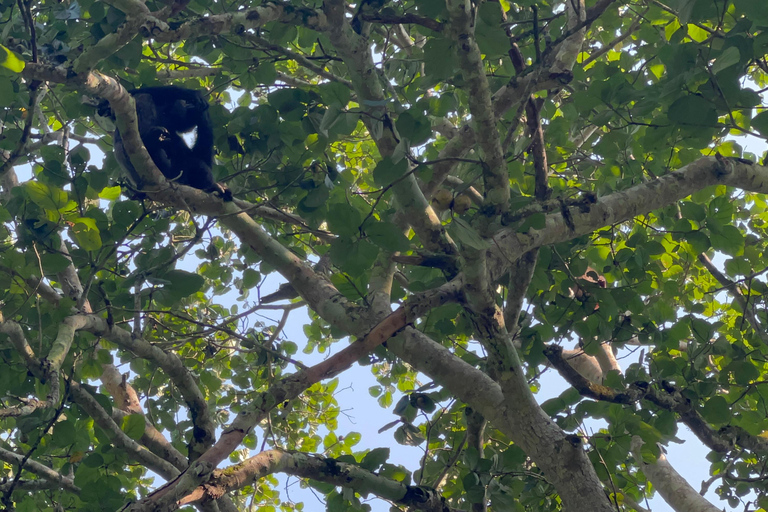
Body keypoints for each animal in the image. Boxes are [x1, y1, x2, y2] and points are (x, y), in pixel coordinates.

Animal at [99, 86, 231, 200]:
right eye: (184, 105)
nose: (188, 108)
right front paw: (190, 94)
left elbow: (200, 157)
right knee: (143, 98)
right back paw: (149, 141)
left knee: (196, 164)